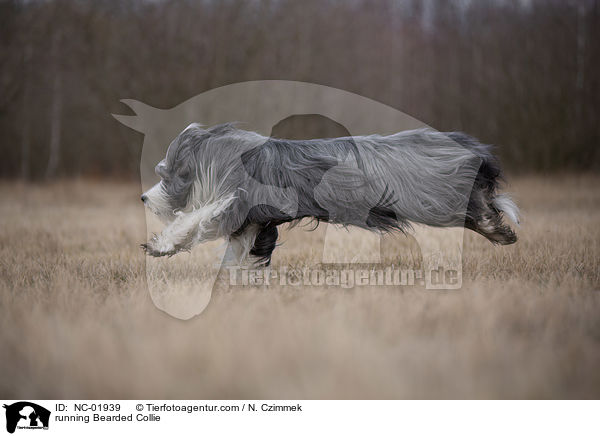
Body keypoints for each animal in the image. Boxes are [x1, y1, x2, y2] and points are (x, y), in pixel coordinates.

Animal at [142, 123, 520, 266]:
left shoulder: (236, 201)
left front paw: (160, 245)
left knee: (475, 206)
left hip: (434, 196)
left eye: (166, 175)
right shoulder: (254, 220)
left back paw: (495, 228)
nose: (144, 198)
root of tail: (466, 147)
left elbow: (195, 220)